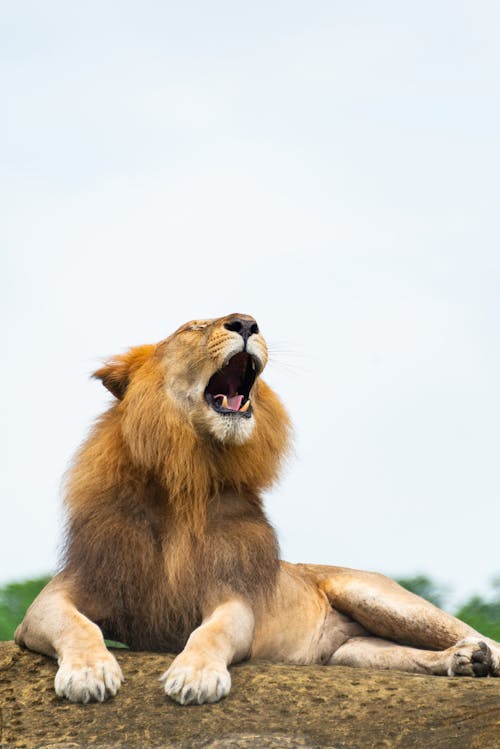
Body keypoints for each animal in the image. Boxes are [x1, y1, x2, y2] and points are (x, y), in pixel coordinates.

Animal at [15, 312, 500, 704]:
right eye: (192, 327)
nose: (247, 323)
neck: (185, 481)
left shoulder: (234, 597)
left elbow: (212, 632)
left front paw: (194, 676)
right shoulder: (52, 600)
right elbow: (79, 625)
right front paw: (89, 673)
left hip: (376, 596)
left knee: (481, 635)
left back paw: (478, 656)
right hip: (353, 653)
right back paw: (462, 661)